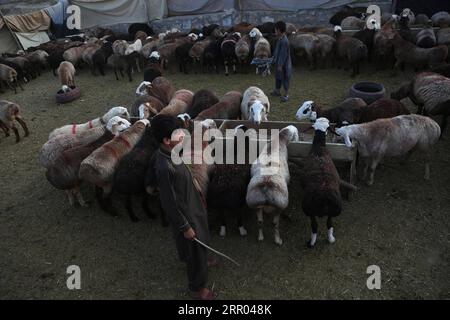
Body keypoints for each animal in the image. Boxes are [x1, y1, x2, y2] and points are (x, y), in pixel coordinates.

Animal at [290, 118, 342, 248]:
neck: (319, 149)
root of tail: (324, 197)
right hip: (334, 211)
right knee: (329, 224)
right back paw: (331, 239)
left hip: (308, 210)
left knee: (315, 226)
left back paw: (311, 243)